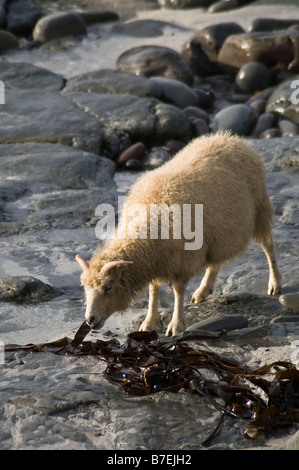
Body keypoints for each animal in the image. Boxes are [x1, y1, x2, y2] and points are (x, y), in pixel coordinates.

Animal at [76, 130, 282, 336]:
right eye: (84, 287)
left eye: (108, 286)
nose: (89, 320)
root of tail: (230, 138)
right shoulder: (157, 261)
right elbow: (153, 290)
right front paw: (149, 322)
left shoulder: (183, 260)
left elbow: (177, 291)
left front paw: (176, 324)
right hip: (217, 234)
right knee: (215, 261)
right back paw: (204, 289)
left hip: (259, 209)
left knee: (268, 244)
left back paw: (275, 282)